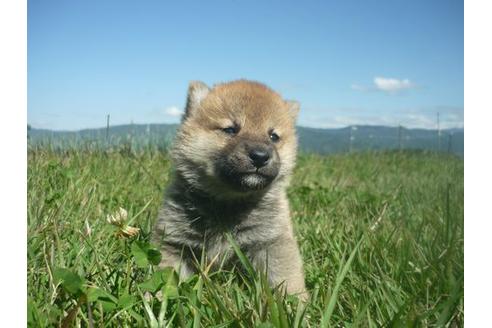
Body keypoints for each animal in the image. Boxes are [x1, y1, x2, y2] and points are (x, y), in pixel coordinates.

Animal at [152, 79, 308, 298]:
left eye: (273, 136)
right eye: (231, 129)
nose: (260, 156)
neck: (228, 203)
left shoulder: (272, 242)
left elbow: (286, 278)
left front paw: (296, 304)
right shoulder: (174, 241)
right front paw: (156, 302)